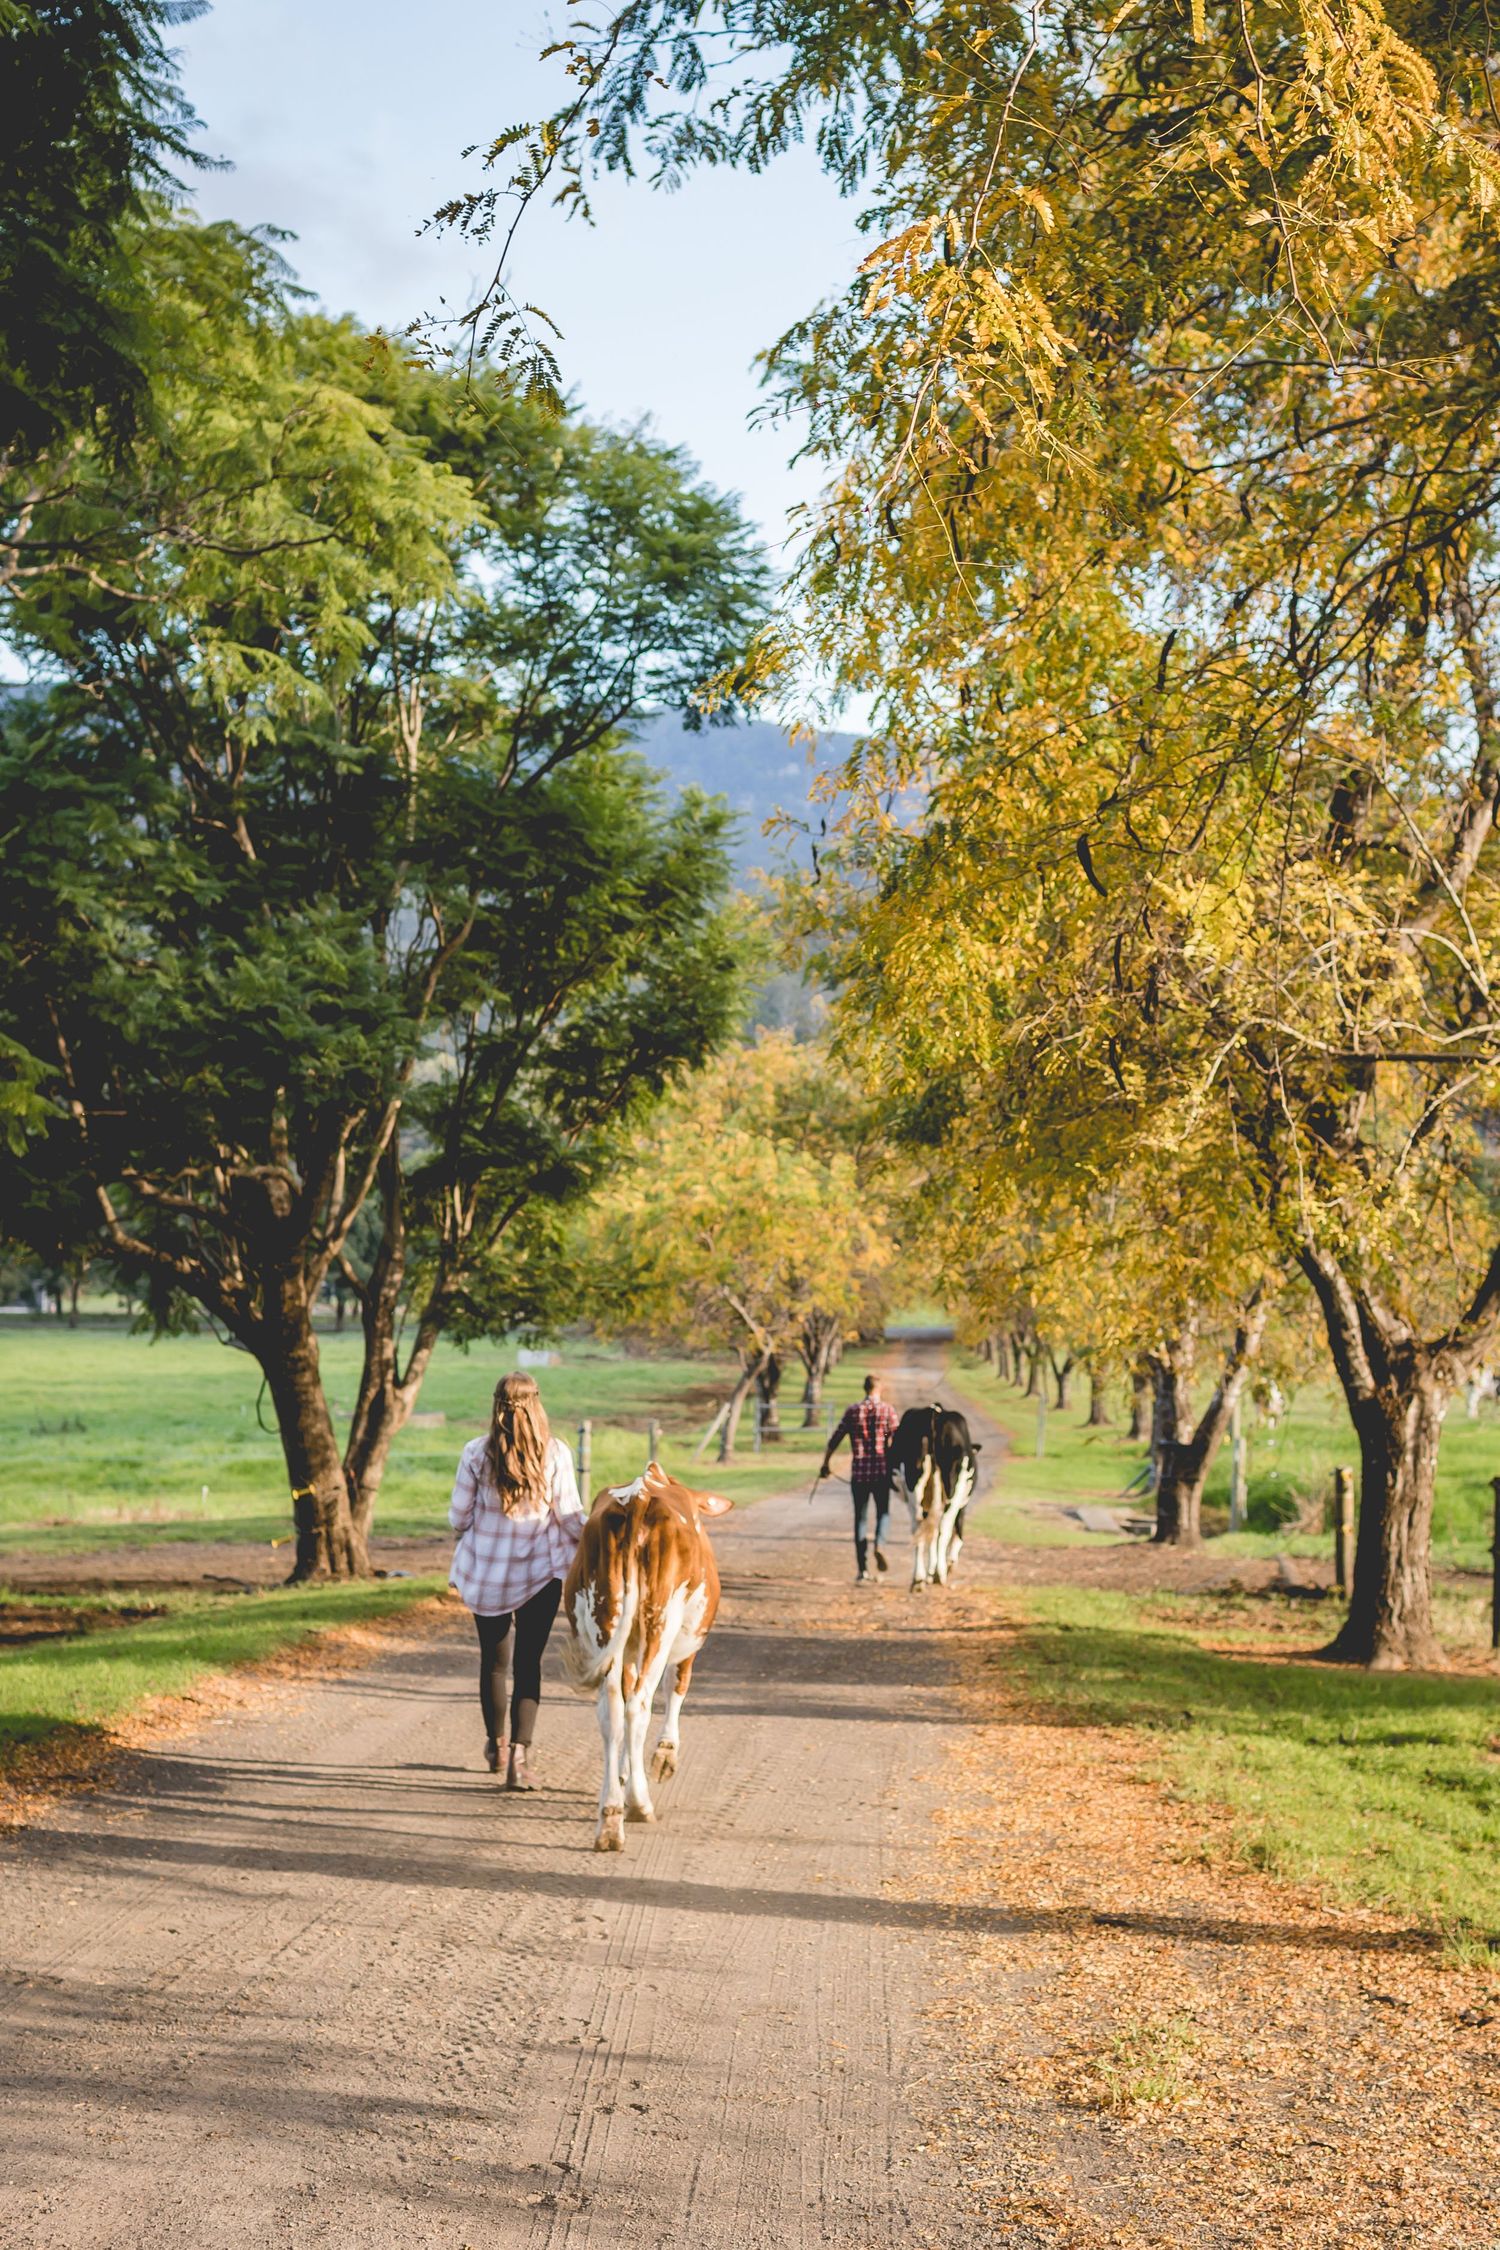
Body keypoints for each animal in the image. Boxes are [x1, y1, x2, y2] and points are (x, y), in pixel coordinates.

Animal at [561, 1460, 732, 1852]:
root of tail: (638, 1497)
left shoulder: (623, 1653)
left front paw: (625, 1773)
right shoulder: (687, 1644)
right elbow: (677, 1685)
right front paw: (665, 1756)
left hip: (605, 1620)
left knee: (612, 1710)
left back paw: (610, 1818)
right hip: (661, 1620)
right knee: (639, 1704)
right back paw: (638, 1805)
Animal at [889, 1404, 980, 1588]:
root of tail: (934, 1414)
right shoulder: (962, 1504)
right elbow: (957, 1533)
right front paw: (947, 1565)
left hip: (915, 1488)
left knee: (920, 1528)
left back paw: (919, 1579)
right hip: (953, 1492)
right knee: (943, 1528)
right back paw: (938, 1574)